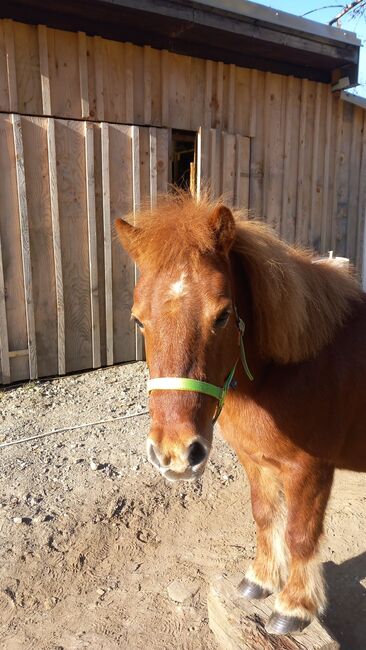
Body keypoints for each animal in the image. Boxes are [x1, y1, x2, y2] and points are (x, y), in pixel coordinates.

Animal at [117, 192, 366, 632]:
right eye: (138, 320)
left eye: (222, 315)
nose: (175, 453)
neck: (288, 369)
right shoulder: (255, 461)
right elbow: (265, 516)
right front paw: (260, 580)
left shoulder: (311, 470)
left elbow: (301, 533)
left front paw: (294, 607)